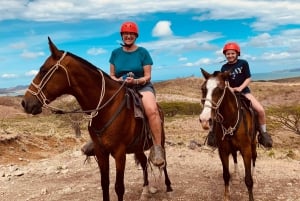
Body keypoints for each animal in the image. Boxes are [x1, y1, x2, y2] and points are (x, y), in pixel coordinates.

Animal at [21, 37, 172, 200]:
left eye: (43, 70)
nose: (25, 103)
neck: (107, 107)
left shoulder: (119, 153)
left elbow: (119, 187)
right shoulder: (101, 152)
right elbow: (104, 184)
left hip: (160, 139)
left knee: (164, 161)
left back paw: (168, 186)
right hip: (137, 146)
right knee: (144, 162)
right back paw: (145, 190)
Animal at [199, 68, 258, 200]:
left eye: (220, 89)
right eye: (203, 88)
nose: (205, 120)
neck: (229, 121)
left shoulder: (246, 149)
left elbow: (248, 179)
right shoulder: (223, 150)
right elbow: (226, 175)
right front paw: (226, 196)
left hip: (253, 143)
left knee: (254, 158)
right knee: (235, 156)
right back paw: (236, 175)